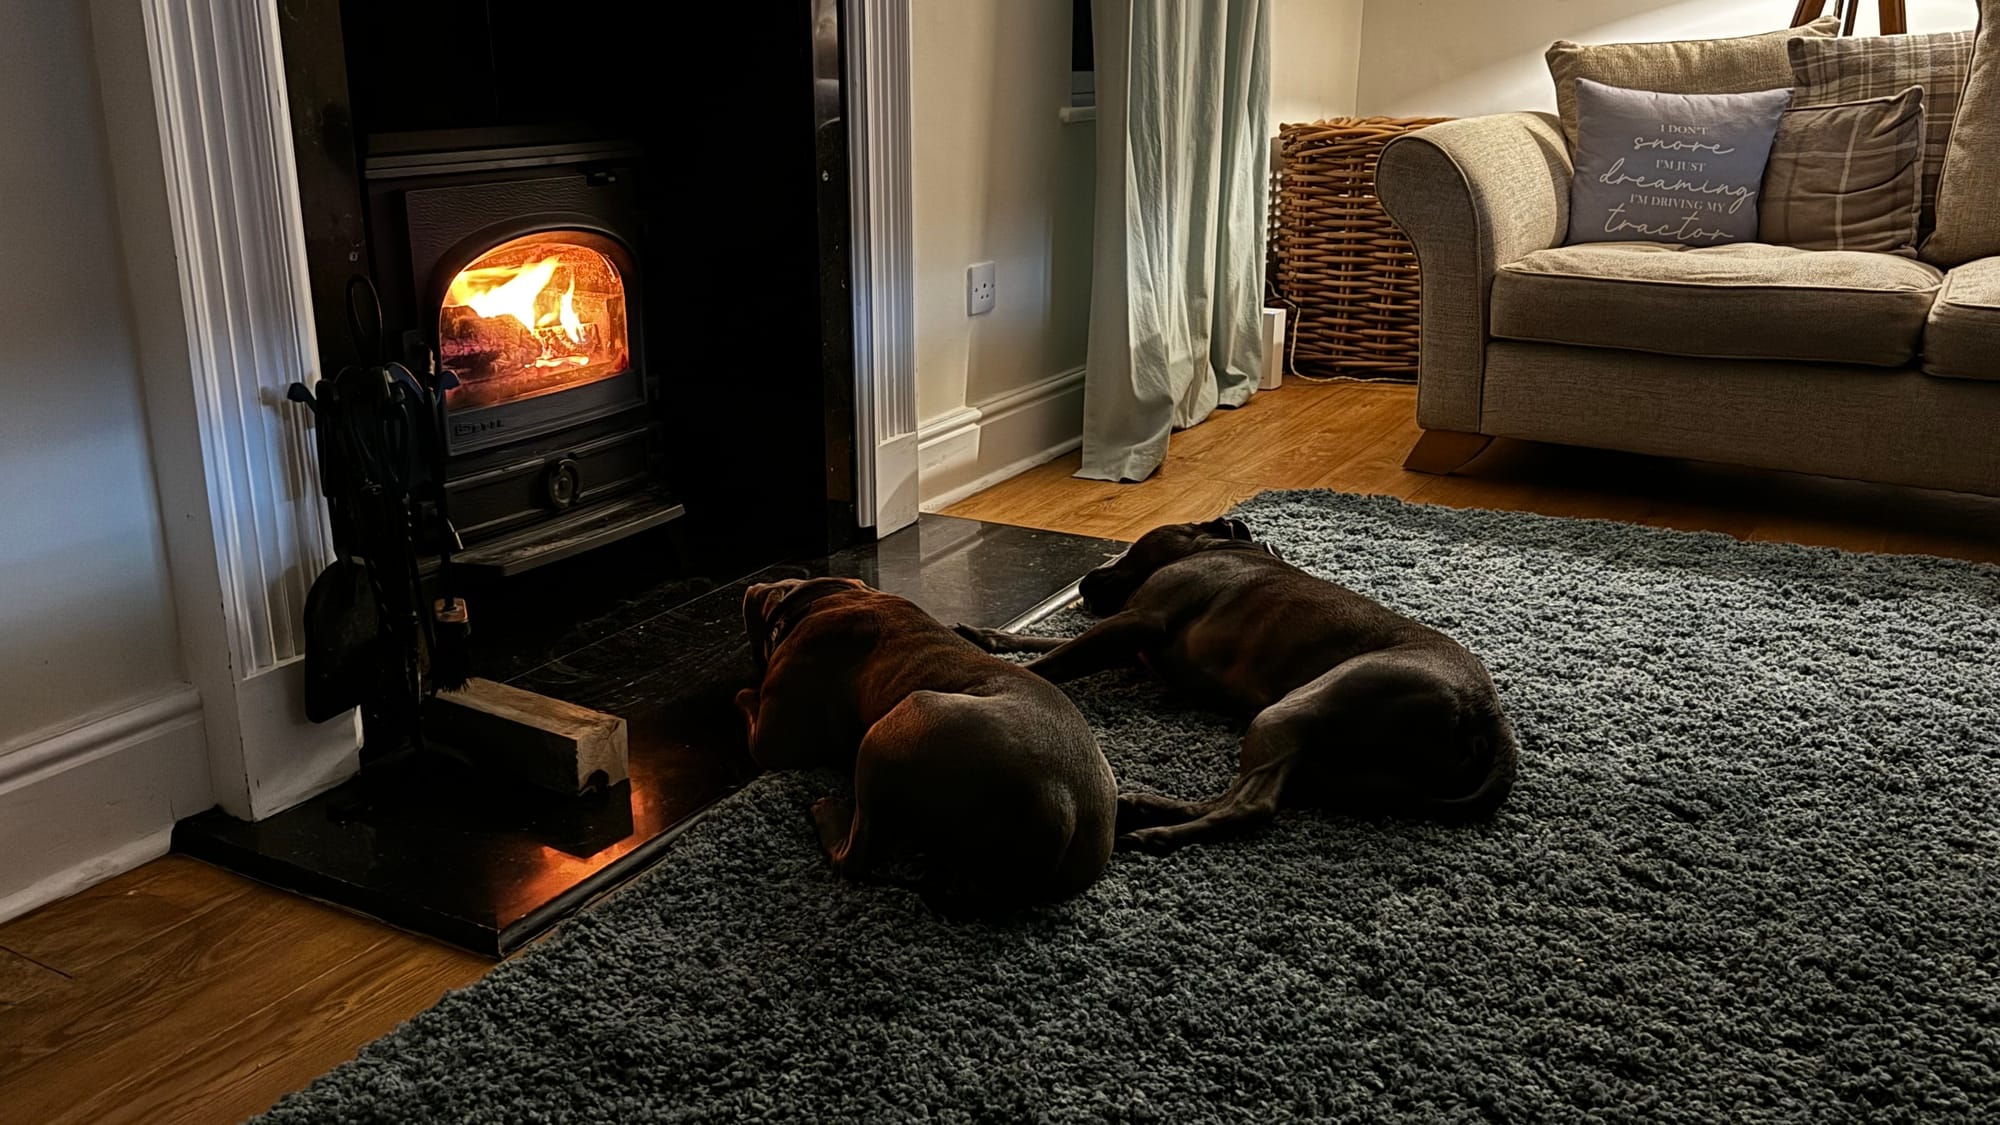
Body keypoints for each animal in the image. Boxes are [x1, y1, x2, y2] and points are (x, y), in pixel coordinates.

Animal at [738, 576, 1117, 908]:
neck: (828, 596)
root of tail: (1068, 813)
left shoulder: (772, 741)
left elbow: (745, 700)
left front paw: (744, 693)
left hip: (898, 721)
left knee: (855, 857)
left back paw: (828, 813)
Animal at [955, 517, 1518, 853]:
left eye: (1131, 547)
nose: (1087, 578)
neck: (1219, 545)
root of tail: (1486, 712)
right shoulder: (1129, 643)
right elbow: (1050, 642)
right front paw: (986, 637)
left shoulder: (1141, 620)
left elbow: (1052, 660)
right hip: (1327, 759)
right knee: (1244, 797)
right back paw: (1146, 807)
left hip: (1294, 710)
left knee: (1252, 806)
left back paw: (1159, 833)